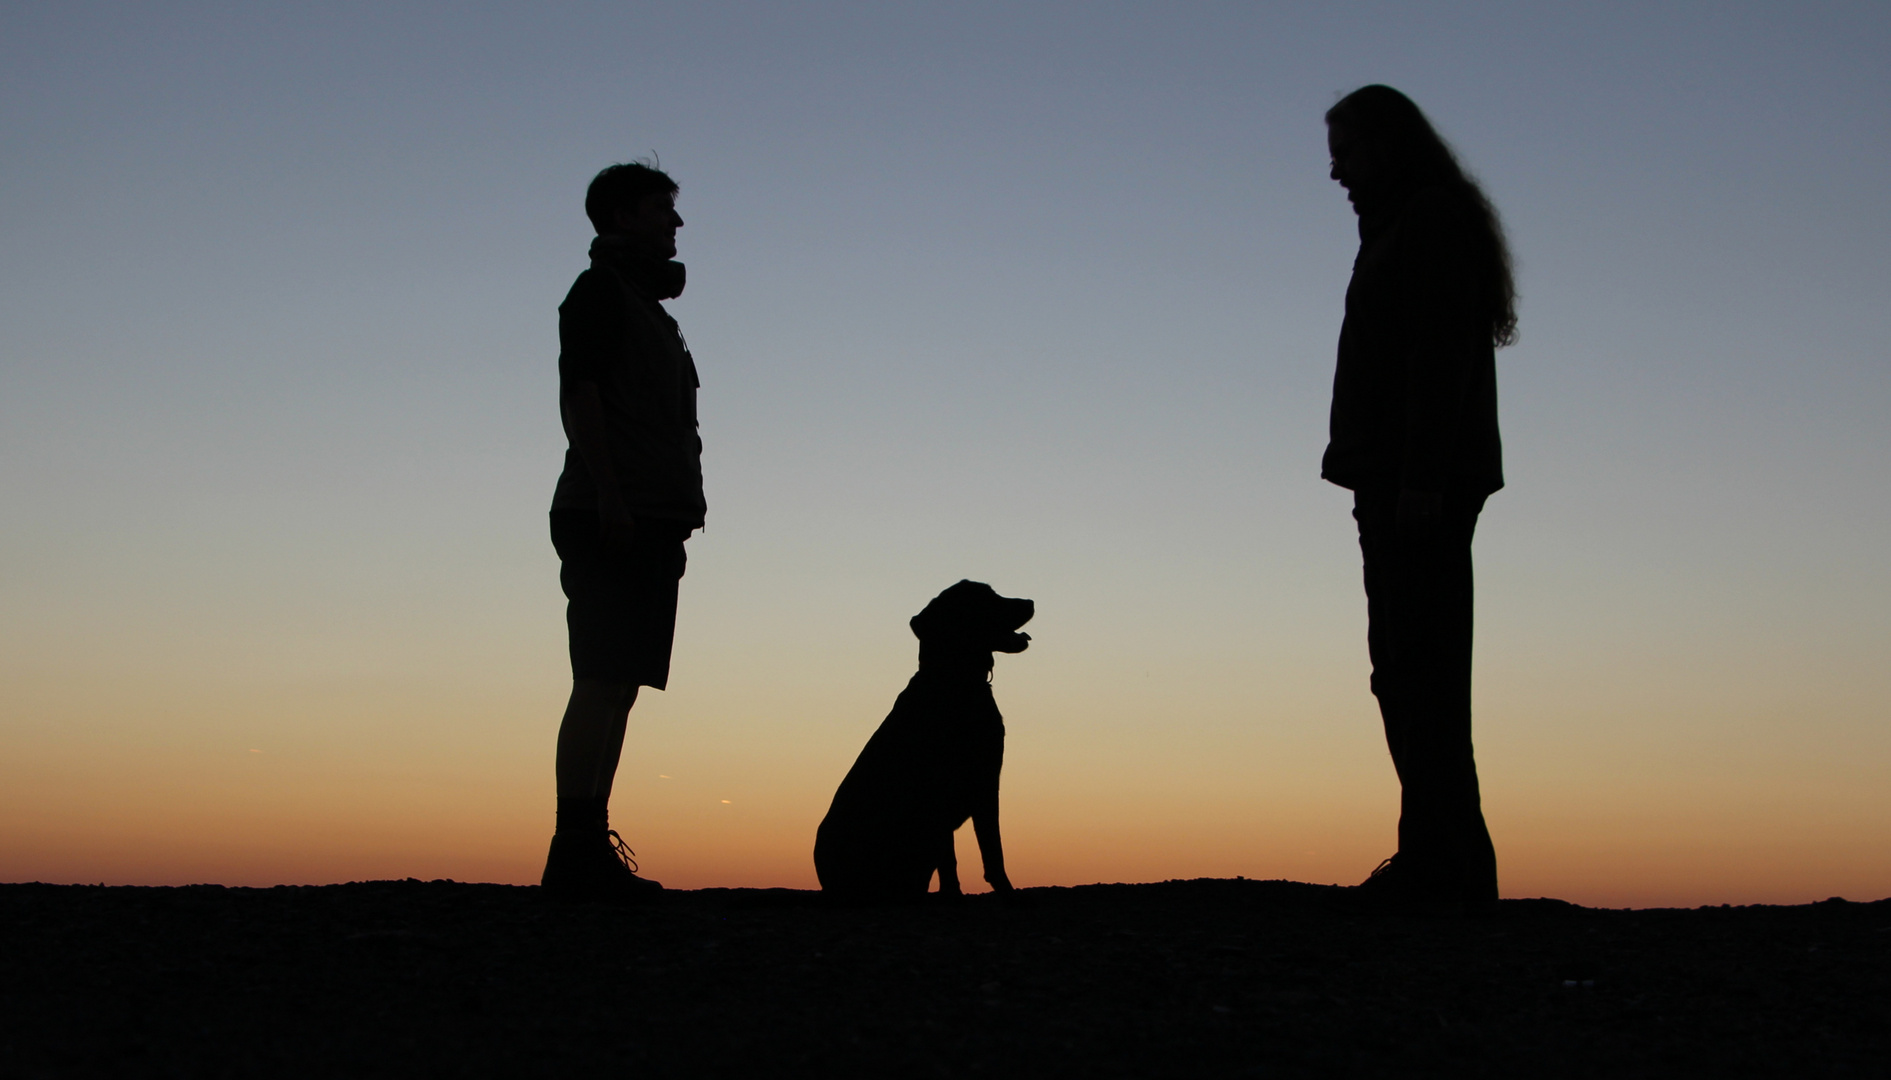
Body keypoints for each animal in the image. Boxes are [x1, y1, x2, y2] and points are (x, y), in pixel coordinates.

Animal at [813, 582, 1036, 904]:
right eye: (986, 598)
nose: (1030, 602)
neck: (956, 683)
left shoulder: (986, 781)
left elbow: (992, 849)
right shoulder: (939, 793)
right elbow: (955, 857)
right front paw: (954, 894)